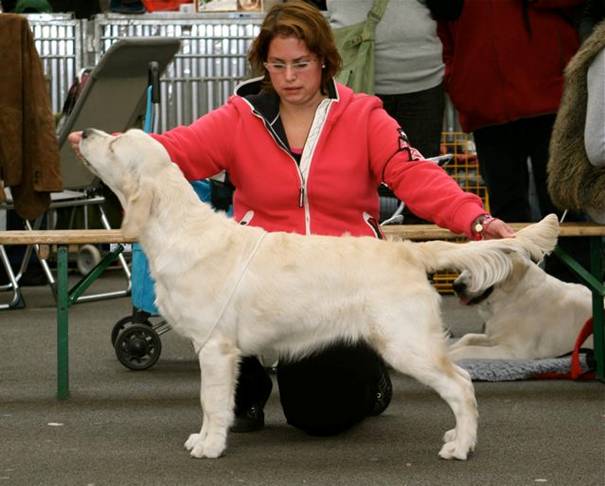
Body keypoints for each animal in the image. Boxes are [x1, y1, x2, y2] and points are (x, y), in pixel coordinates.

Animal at [78, 129, 560, 464]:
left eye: (116, 144)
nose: (83, 133)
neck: (179, 229)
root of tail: (407, 249)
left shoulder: (215, 347)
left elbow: (211, 401)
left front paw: (210, 445)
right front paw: (205, 437)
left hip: (408, 345)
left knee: (461, 386)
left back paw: (460, 446)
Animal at [450, 256, 592, 362]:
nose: (456, 286)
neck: (511, 298)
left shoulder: (515, 351)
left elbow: (470, 349)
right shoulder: (494, 337)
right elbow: (468, 337)